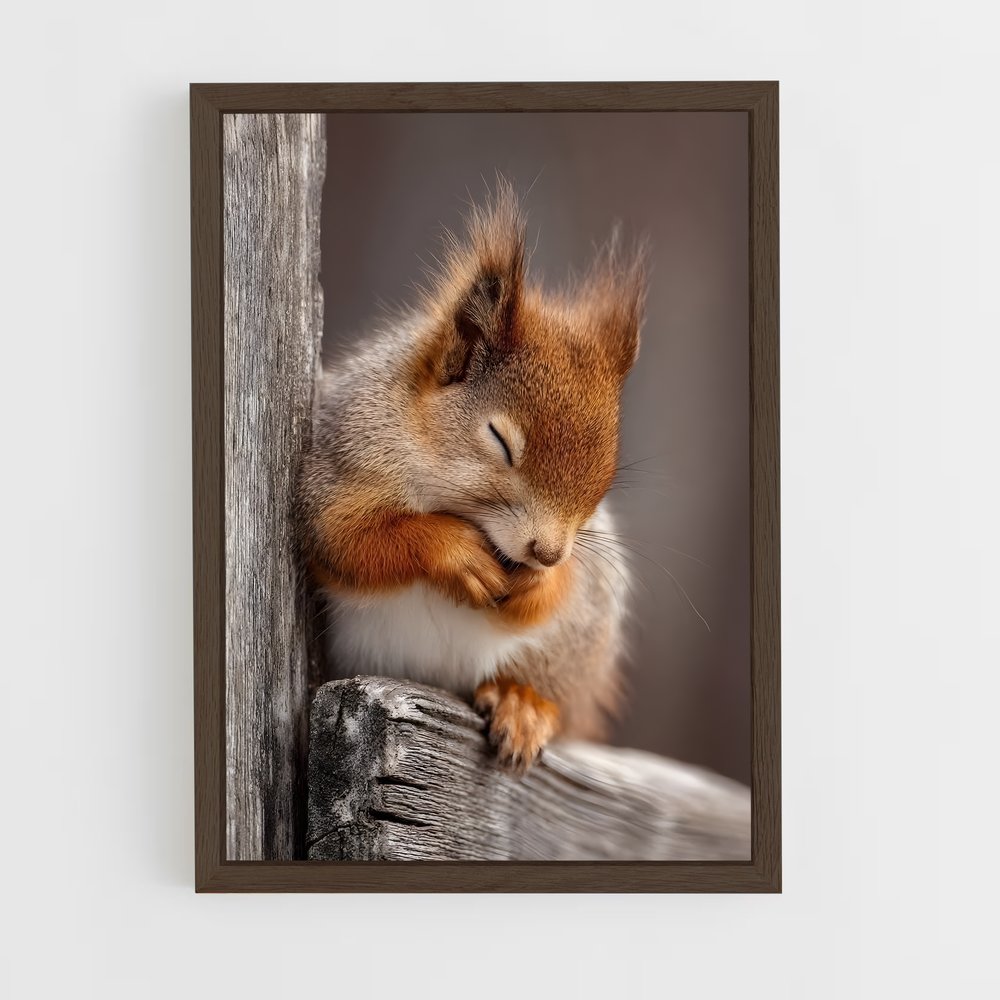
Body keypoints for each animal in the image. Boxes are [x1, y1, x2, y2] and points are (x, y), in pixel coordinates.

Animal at [296, 183, 647, 770]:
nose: (547, 552)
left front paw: (539, 582)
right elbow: (350, 541)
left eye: (607, 474)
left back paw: (521, 702)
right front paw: (456, 554)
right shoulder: (338, 465)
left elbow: (552, 594)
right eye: (500, 440)